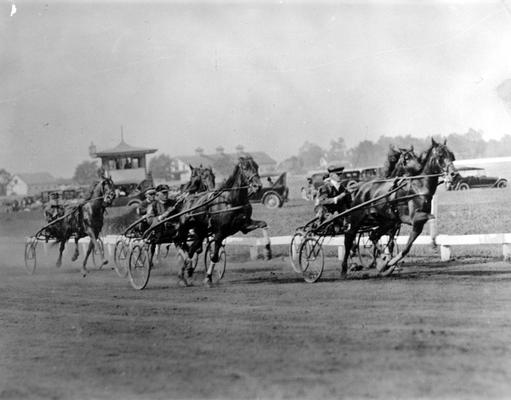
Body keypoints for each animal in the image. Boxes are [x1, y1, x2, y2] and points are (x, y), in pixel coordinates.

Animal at [174, 157, 266, 288]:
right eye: (245, 168)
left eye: (257, 166)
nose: (257, 185)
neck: (231, 200)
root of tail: (188, 199)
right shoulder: (219, 232)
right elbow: (214, 256)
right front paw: (208, 278)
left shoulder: (245, 226)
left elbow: (263, 224)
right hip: (184, 227)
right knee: (180, 243)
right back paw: (182, 274)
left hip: (201, 231)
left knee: (192, 249)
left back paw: (187, 271)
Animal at [342, 139, 458, 276]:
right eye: (440, 155)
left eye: (451, 155)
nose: (454, 174)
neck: (418, 187)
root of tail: (360, 187)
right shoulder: (413, 217)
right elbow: (431, 216)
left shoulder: (415, 223)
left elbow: (407, 246)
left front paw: (391, 262)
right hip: (358, 217)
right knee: (349, 236)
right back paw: (345, 268)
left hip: (386, 221)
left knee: (374, 235)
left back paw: (382, 262)